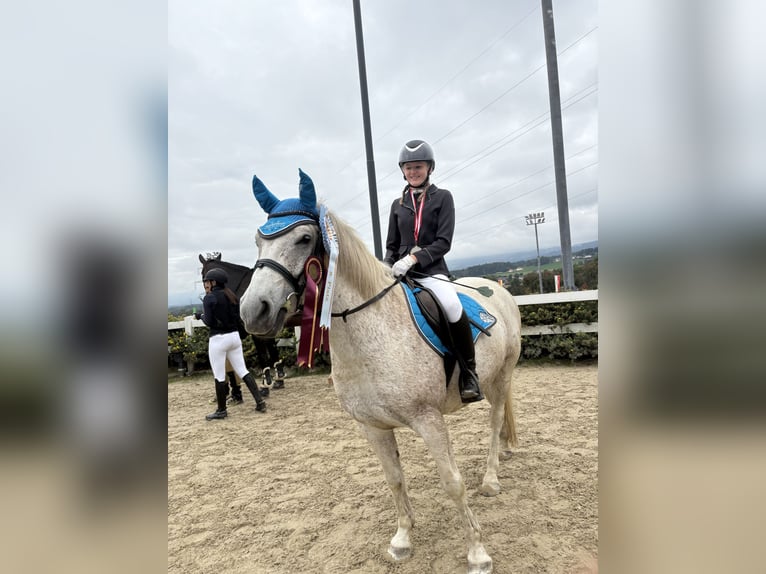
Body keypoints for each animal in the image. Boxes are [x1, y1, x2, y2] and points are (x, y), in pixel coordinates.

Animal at [239, 170, 521, 574]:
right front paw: (402, 540)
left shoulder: (429, 420)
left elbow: (452, 483)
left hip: (501, 377)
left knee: (495, 423)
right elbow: (394, 480)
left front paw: (478, 553)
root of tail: (498, 290)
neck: (371, 333)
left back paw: (491, 479)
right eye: (259, 240)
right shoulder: (371, 426)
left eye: (305, 239)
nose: (253, 311)